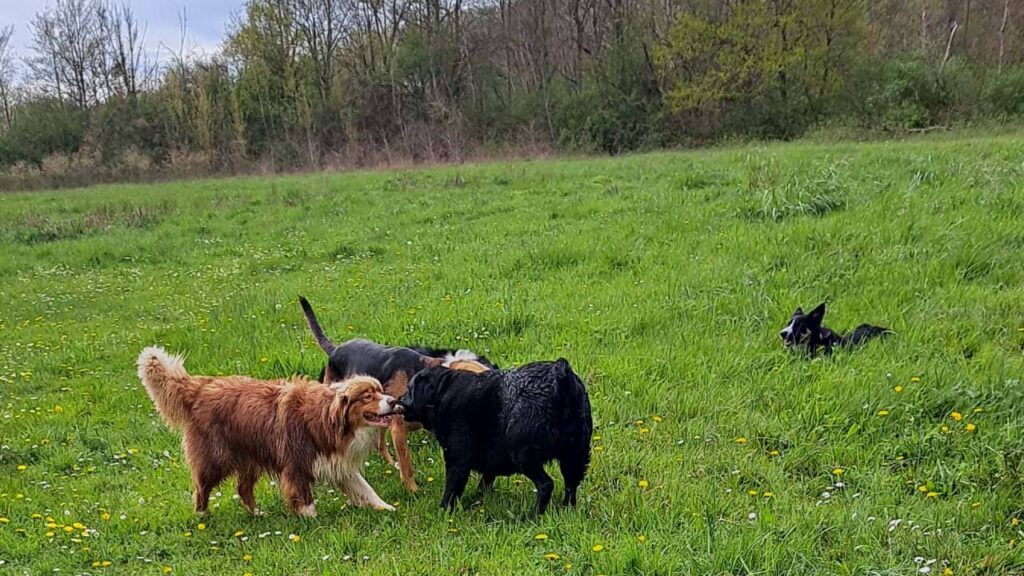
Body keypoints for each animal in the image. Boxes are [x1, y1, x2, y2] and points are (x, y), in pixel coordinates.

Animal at [133, 344, 395, 516]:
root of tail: (201, 387)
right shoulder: (296, 466)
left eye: (380, 390)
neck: (326, 419)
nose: (393, 401)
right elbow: (305, 500)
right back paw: (202, 517)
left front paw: (387, 508)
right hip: (215, 459)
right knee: (201, 488)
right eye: (367, 396)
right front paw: (311, 520)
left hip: (250, 457)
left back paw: (257, 513)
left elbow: (365, 489)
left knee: (242, 488)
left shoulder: (337, 463)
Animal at [299, 295, 495, 487]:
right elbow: (407, 467)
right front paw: (414, 491)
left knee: (380, 444)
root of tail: (335, 350)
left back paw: (392, 463)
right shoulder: (398, 430)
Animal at [397, 358, 598, 510]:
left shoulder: (457, 460)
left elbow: (452, 490)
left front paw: (443, 511)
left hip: (523, 454)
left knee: (546, 485)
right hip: (574, 456)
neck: (442, 391)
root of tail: (562, 377)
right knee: (571, 486)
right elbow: (485, 482)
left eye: (409, 389)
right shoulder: (490, 460)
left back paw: (532, 515)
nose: (398, 400)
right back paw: (566, 509)